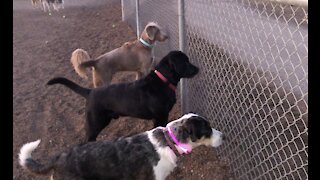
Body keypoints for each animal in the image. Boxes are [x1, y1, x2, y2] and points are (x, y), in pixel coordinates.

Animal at [47, 50, 199, 142]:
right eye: (185, 62)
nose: (198, 68)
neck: (163, 81)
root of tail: (90, 92)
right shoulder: (159, 116)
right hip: (95, 122)